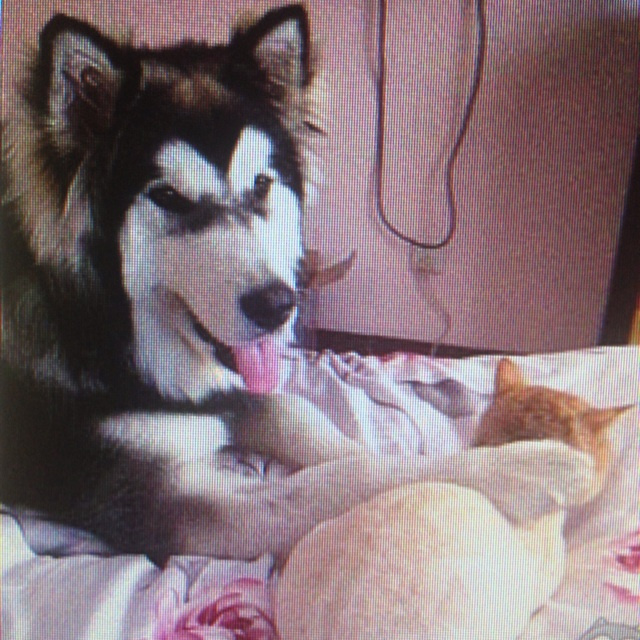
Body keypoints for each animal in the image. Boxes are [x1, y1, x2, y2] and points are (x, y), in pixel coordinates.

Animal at [0, 5, 598, 564]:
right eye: (168, 197)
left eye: (262, 184)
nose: (278, 306)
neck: (102, 326)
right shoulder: (158, 495)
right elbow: (332, 483)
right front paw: (529, 468)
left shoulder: (236, 384)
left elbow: (315, 427)